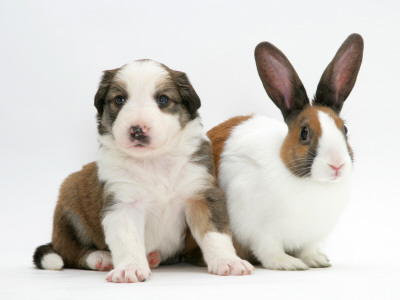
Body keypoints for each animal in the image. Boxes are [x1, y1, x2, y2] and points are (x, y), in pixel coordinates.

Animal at [33, 59, 253, 282]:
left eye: (163, 99)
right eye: (119, 99)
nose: (137, 129)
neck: (154, 161)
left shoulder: (201, 194)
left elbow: (215, 233)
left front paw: (228, 261)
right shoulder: (122, 204)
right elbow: (127, 240)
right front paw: (129, 268)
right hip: (69, 205)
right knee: (70, 251)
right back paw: (101, 258)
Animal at [208, 33, 364, 270]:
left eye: (344, 129)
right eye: (304, 133)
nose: (337, 164)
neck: (312, 184)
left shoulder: (310, 236)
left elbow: (307, 249)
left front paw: (317, 260)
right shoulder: (259, 230)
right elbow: (269, 250)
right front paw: (288, 263)